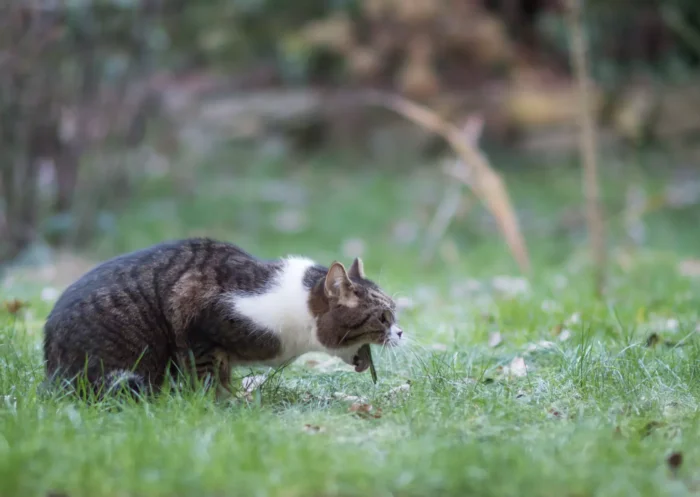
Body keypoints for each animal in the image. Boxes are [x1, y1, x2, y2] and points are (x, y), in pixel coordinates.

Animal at [42, 237, 404, 400]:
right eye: (384, 316)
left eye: (394, 313)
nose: (401, 332)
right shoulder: (198, 322)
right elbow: (208, 374)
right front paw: (221, 404)